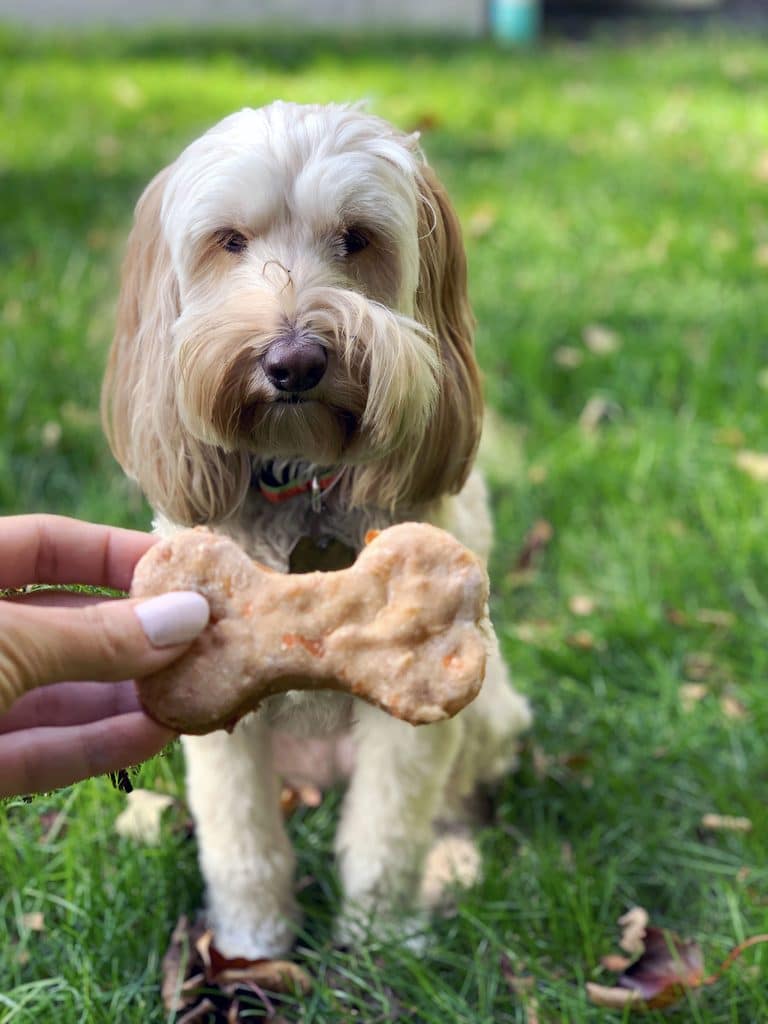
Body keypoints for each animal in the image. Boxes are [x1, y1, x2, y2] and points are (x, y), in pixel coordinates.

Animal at [102, 103, 532, 958]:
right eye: (230, 240)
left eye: (357, 239)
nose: (294, 363)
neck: (300, 475)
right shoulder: (218, 714)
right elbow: (243, 842)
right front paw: (251, 942)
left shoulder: (409, 711)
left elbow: (385, 835)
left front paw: (379, 941)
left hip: (488, 706)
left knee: (454, 799)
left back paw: (454, 862)